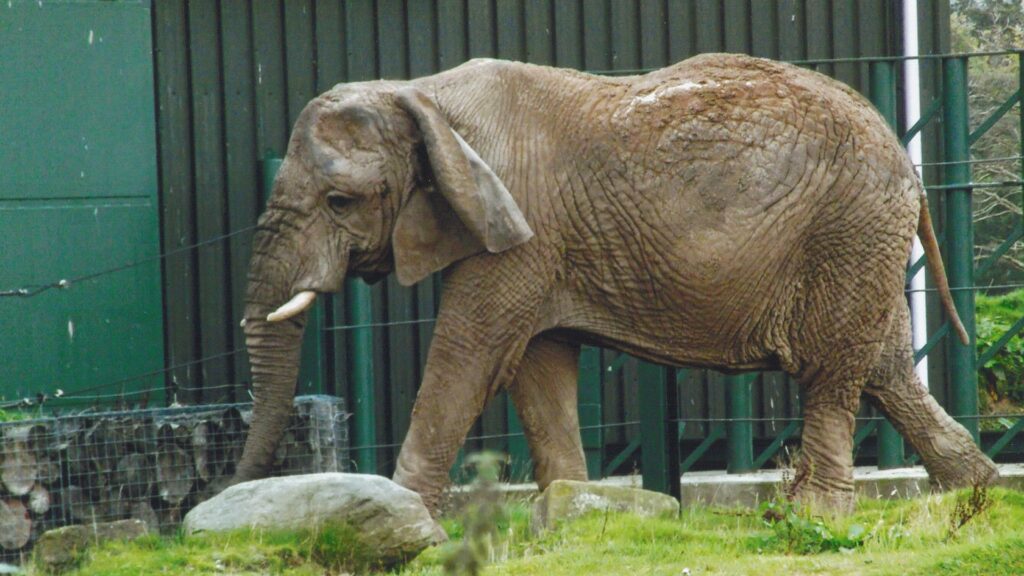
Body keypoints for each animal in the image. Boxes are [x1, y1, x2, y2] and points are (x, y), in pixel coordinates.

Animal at [234, 52, 999, 514]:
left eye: (340, 202)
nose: (229, 495)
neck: (418, 93)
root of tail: (907, 161)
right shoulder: (540, 245)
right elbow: (537, 368)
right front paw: (577, 513)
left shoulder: (519, 229)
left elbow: (468, 356)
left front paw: (409, 515)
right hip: (861, 240)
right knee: (885, 368)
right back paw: (977, 494)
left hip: (846, 230)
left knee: (833, 373)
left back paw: (817, 514)